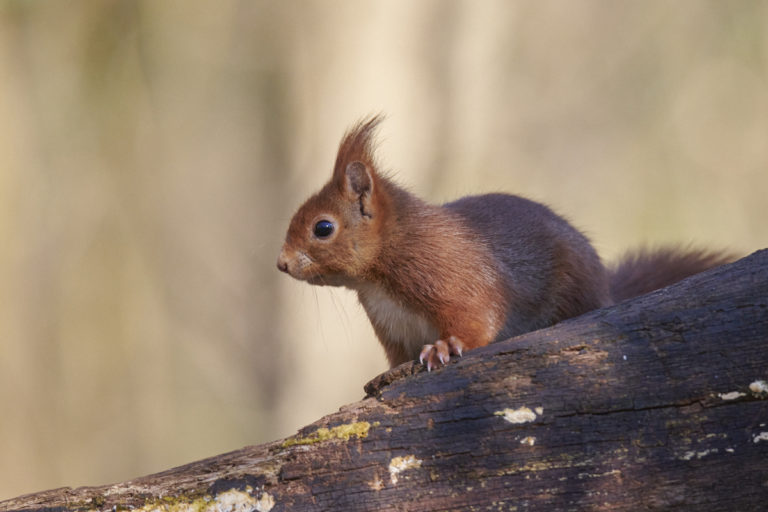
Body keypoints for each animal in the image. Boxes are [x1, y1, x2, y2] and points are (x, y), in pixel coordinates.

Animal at [276, 117, 732, 368]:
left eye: (322, 228)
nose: (281, 264)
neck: (377, 278)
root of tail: (606, 289)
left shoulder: (451, 275)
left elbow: (477, 318)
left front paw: (445, 346)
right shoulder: (393, 331)